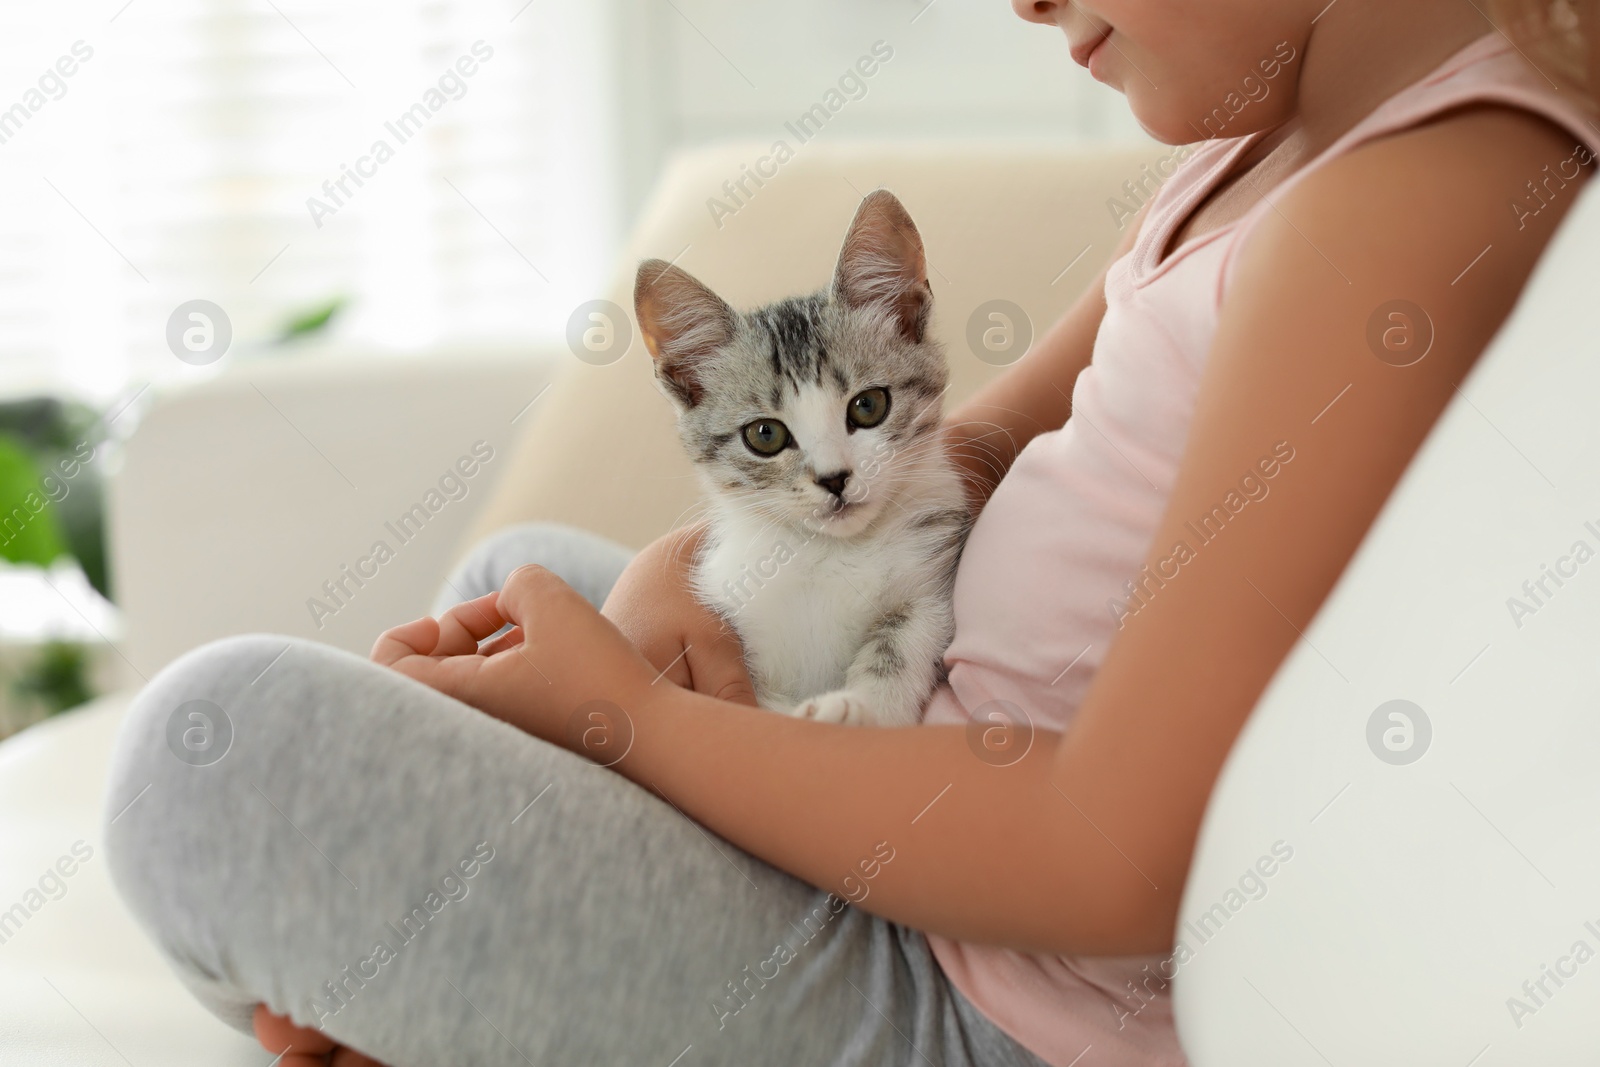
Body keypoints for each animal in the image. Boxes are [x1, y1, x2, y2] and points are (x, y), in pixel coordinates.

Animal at [633, 189, 960, 726]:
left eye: (868, 406)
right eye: (764, 434)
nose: (834, 479)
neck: (829, 554)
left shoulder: (931, 585)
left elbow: (901, 641)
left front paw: (861, 708)